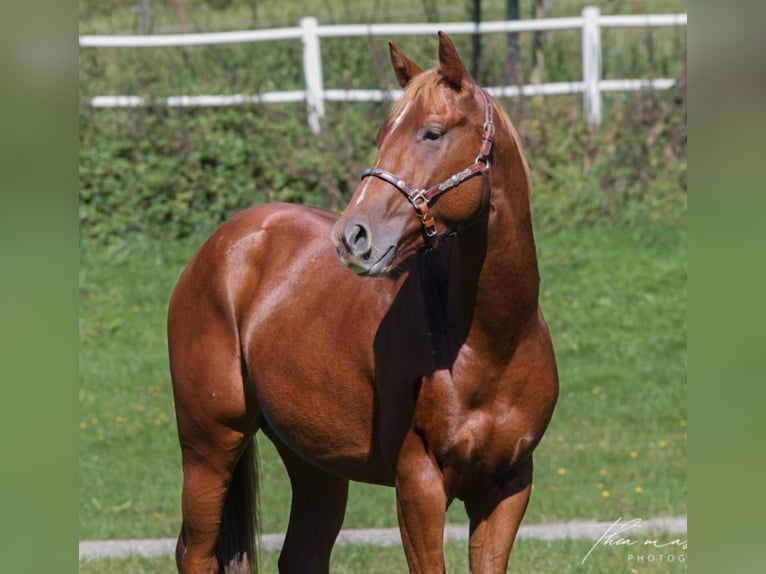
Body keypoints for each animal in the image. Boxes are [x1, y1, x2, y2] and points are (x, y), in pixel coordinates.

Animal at [168, 32, 558, 574]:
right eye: (381, 134)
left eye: (432, 134)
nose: (353, 236)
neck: (490, 343)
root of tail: (223, 245)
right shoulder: (418, 486)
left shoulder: (508, 487)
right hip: (209, 447)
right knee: (195, 551)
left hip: (313, 461)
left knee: (301, 555)